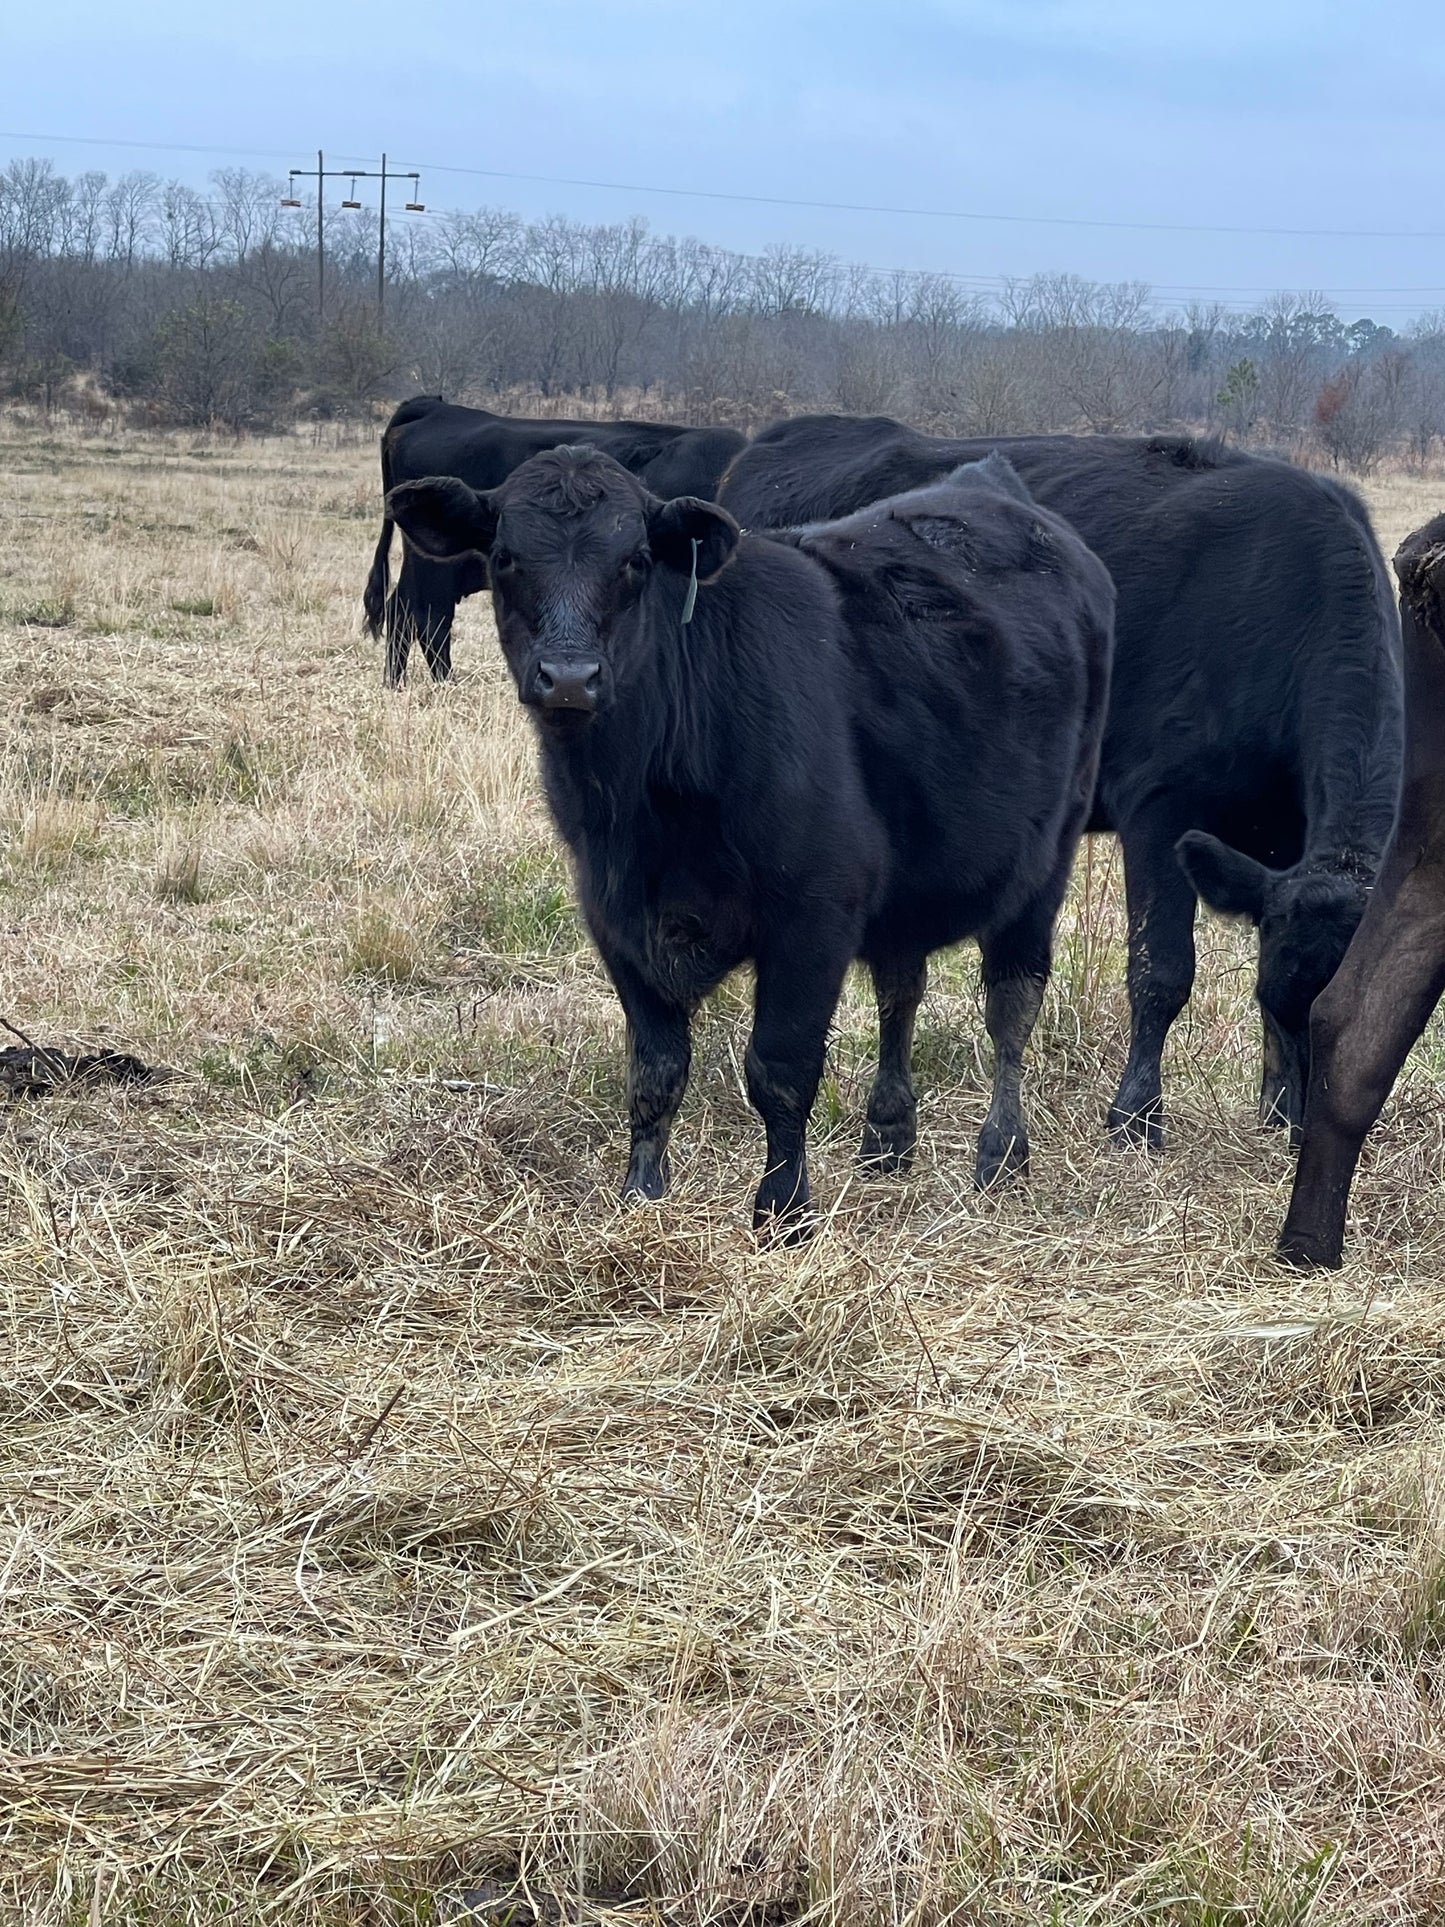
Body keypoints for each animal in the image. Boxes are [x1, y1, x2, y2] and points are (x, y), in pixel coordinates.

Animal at [362, 395, 747, 689]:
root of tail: (435, 407)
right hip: (436, 569)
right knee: (428, 619)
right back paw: (441, 687)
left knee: (402, 611)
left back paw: (399, 684)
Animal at [387, 441, 1117, 1233]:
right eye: (505, 556)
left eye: (636, 559)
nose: (570, 677)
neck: (642, 805)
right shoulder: (614, 916)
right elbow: (655, 1069)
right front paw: (641, 1192)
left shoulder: (812, 914)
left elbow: (779, 1069)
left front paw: (783, 1208)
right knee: (901, 988)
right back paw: (887, 1137)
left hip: (1046, 858)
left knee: (1011, 1006)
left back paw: (1001, 1154)